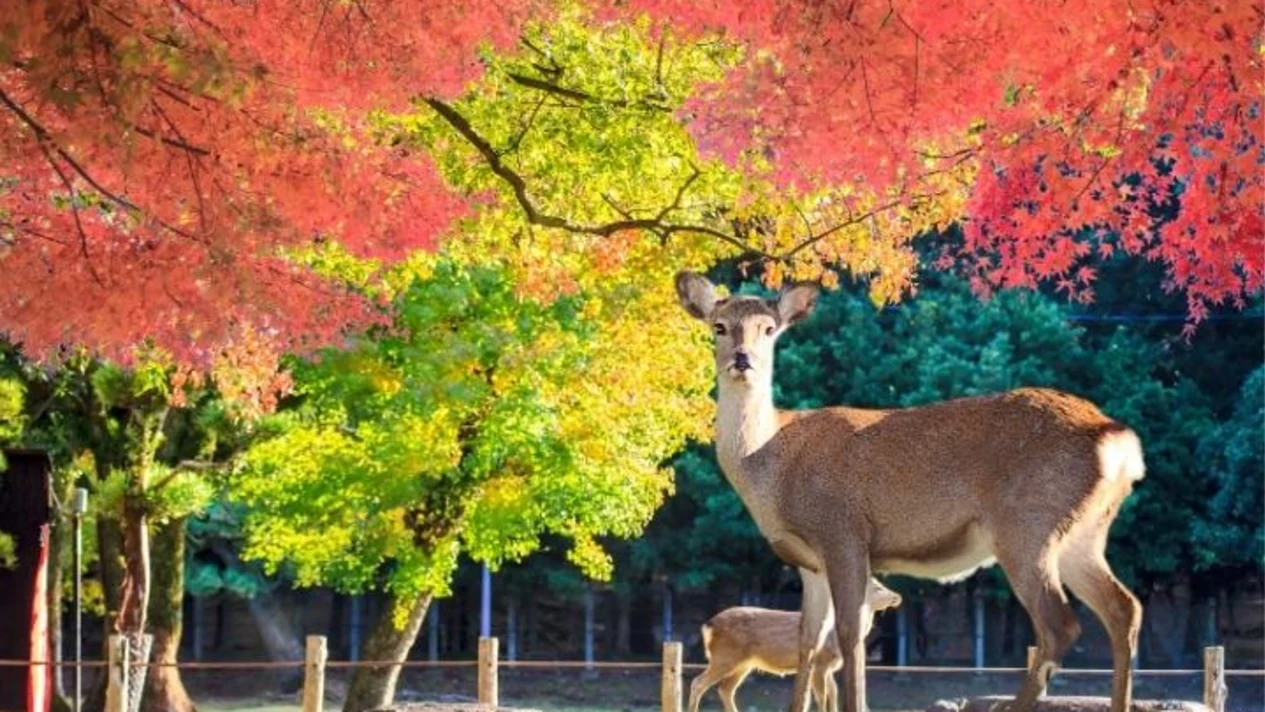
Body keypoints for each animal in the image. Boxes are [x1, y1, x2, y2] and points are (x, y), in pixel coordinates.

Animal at [688, 578, 902, 712]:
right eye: (877, 587)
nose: (897, 597)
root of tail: (708, 626)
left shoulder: (828, 667)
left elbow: (833, 694)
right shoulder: (820, 662)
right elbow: (821, 696)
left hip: (744, 663)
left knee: (725, 689)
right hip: (725, 656)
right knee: (698, 682)